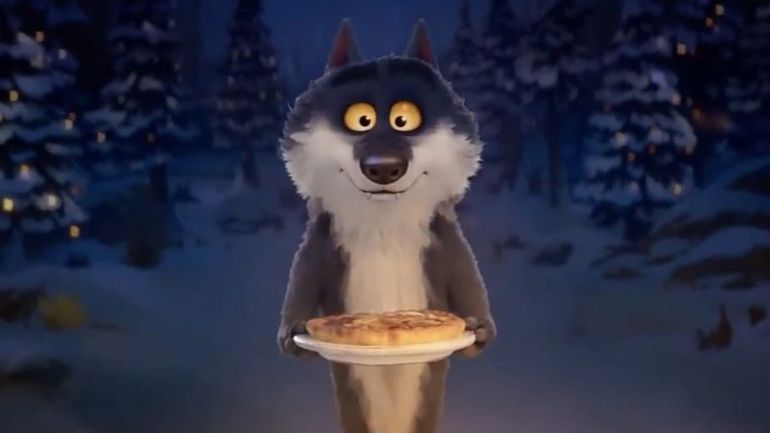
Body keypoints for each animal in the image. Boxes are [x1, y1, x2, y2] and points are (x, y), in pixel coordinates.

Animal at [277, 19, 496, 433]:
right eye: (360, 120)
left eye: (403, 119)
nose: (383, 167)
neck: (384, 224)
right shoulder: (323, 239)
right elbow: (304, 274)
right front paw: (292, 333)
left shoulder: (444, 238)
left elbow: (466, 274)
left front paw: (479, 329)